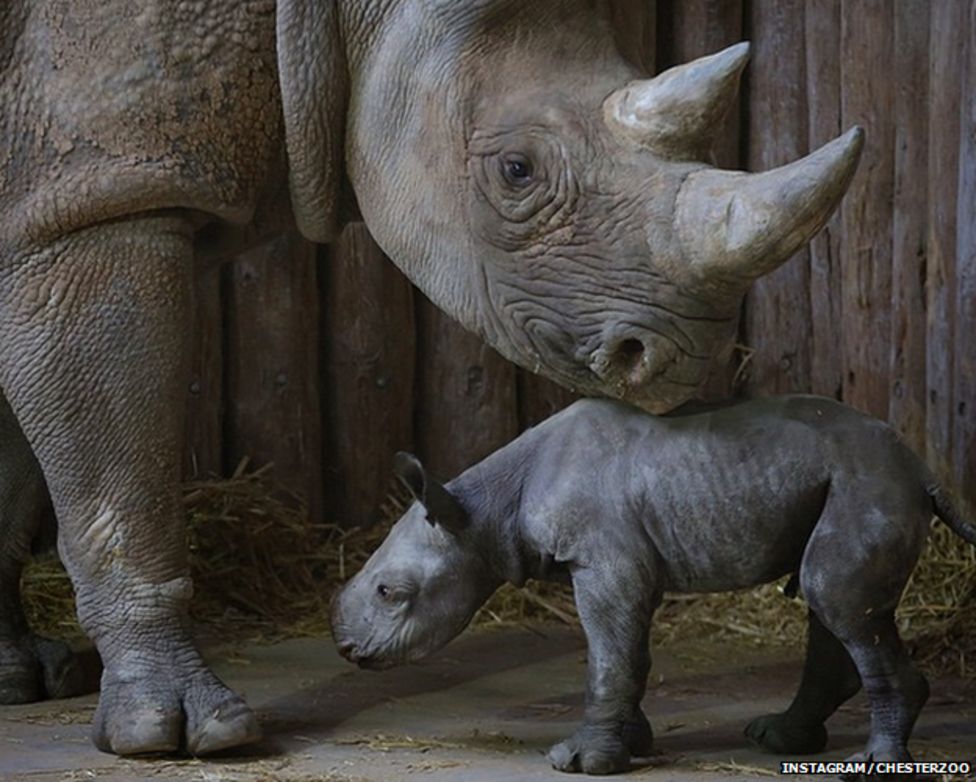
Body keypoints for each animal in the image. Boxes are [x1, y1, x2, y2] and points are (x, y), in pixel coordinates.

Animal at [0, 0, 856, 760]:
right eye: (517, 171)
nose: (678, 358)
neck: (340, 17)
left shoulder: (45, 210)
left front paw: (17, 680)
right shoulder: (98, 204)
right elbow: (118, 480)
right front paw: (181, 734)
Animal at [332, 398, 972, 776]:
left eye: (389, 593)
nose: (345, 649)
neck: (482, 511)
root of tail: (923, 469)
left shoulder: (604, 562)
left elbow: (608, 657)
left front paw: (582, 761)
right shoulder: (621, 564)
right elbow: (627, 654)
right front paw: (633, 744)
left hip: (867, 484)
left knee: (834, 595)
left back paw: (876, 760)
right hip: (844, 481)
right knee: (826, 596)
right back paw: (779, 739)